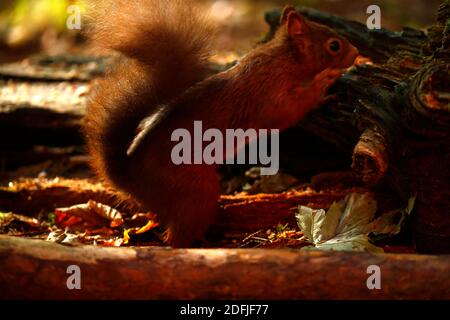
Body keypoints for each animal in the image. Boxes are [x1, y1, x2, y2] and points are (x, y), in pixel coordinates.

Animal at [83, 0, 358, 248]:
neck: (282, 60)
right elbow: (289, 111)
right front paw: (325, 83)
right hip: (196, 190)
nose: (356, 54)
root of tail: (130, 179)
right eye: (334, 45)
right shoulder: (270, 96)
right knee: (175, 238)